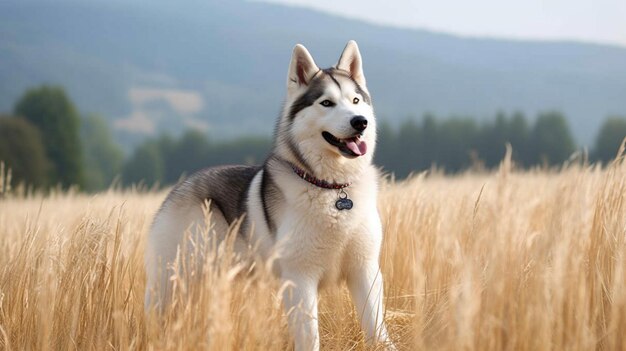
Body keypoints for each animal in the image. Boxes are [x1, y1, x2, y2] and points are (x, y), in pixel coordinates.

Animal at [144, 42, 392, 351]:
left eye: (356, 100)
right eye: (326, 103)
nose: (360, 122)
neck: (332, 189)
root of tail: (182, 185)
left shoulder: (365, 271)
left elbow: (377, 330)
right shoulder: (299, 279)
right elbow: (309, 337)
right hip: (174, 282)